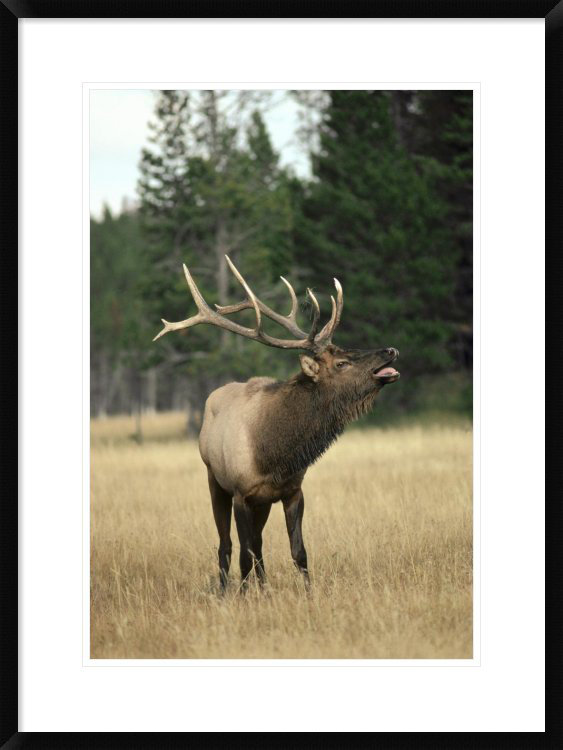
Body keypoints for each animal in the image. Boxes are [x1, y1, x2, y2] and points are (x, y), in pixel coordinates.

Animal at [153, 256, 400, 591]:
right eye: (341, 363)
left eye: (346, 350)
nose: (390, 350)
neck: (274, 453)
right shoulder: (242, 493)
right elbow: (243, 554)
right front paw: (243, 596)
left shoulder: (291, 490)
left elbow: (299, 552)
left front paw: (308, 593)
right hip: (214, 480)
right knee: (226, 544)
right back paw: (226, 589)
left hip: (263, 502)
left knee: (257, 543)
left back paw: (264, 587)